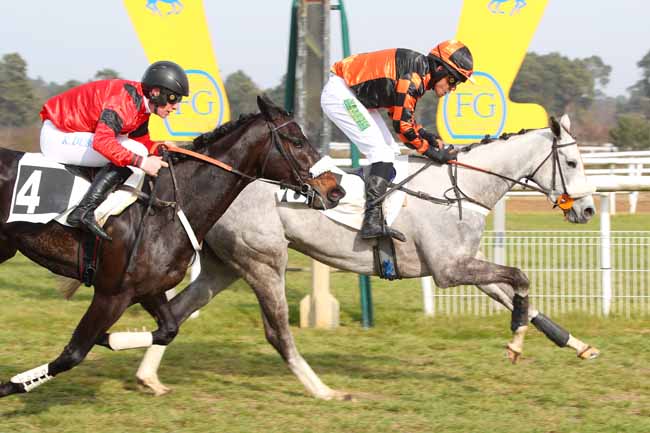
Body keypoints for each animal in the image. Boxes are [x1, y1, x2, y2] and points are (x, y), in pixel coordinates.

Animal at [0, 96, 344, 396]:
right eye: (296, 141)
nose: (336, 190)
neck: (168, 207)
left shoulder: (148, 288)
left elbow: (168, 330)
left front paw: (111, 340)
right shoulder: (111, 294)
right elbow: (72, 353)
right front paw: (12, 385)